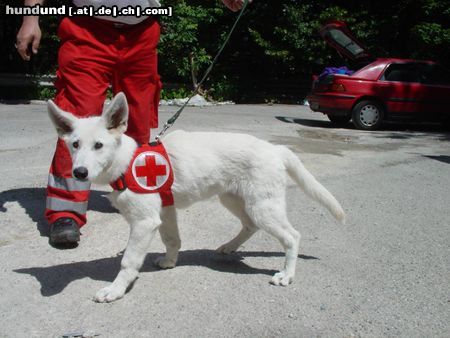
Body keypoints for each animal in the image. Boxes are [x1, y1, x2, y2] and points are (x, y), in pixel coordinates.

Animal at [47, 93, 344, 304]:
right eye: (74, 145)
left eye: (99, 145)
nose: (79, 172)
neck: (126, 162)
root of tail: (275, 149)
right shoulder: (165, 212)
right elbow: (172, 240)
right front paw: (169, 262)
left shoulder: (144, 222)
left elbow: (128, 261)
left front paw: (116, 290)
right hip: (235, 200)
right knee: (250, 226)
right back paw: (229, 247)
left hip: (263, 207)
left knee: (292, 236)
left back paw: (287, 275)